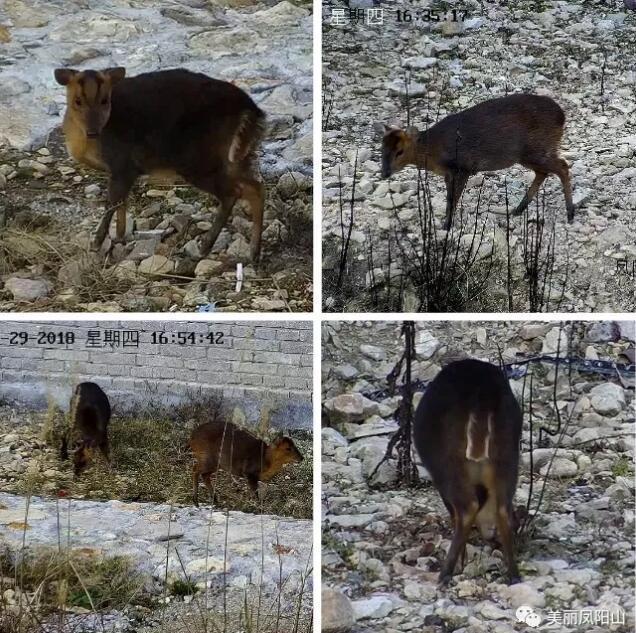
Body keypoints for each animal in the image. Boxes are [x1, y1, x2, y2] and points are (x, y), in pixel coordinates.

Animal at [51, 69, 266, 264]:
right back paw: (252, 253)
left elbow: (112, 203)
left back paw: (206, 248)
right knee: (255, 187)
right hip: (236, 156)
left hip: (197, 160)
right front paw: (120, 236)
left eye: (105, 100)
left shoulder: (123, 164)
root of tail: (251, 110)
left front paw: (97, 243)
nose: (93, 132)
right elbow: (121, 202)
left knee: (234, 192)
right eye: (77, 101)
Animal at [378, 92, 576, 231]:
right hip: (528, 155)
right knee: (543, 172)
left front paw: (446, 226)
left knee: (562, 166)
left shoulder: (461, 168)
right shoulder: (450, 173)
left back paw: (570, 214)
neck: (432, 150)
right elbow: (450, 198)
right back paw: (517, 210)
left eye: (400, 152)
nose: (384, 173)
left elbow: (452, 199)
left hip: (535, 149)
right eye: (381, 148)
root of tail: (562, 116)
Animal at [412, 358, 520, 584]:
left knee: (467, 507)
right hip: (507, 453)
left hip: (447, 462)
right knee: (502, 508)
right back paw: (514, 575)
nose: (490, 536)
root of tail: (482, 394)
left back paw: (445, 573)